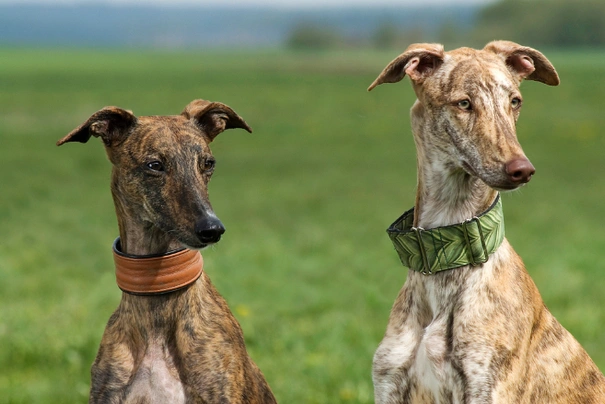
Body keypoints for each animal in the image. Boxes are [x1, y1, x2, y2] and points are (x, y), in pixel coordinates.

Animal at [366, 41, 604, 404]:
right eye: (464, 103)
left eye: (515, 101)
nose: (522, 170)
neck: (446, 262)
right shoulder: (390, 383)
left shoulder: (488, 386)